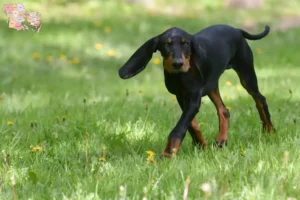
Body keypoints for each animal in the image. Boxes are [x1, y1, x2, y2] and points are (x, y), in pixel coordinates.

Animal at [118, 24, 276, 157]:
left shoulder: (193, 98)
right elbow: (191, 124)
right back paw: (221, 140)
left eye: (185, 44)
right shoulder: (181, 96)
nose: (178, 64)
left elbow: (180, 127)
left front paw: (168, 153)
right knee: (224, 110)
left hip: (246, 73)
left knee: (260, 99)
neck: (180, 76)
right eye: (166, 44)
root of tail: (236, 29)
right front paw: (201, 145)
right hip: (212, 84)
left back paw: (270, 130)